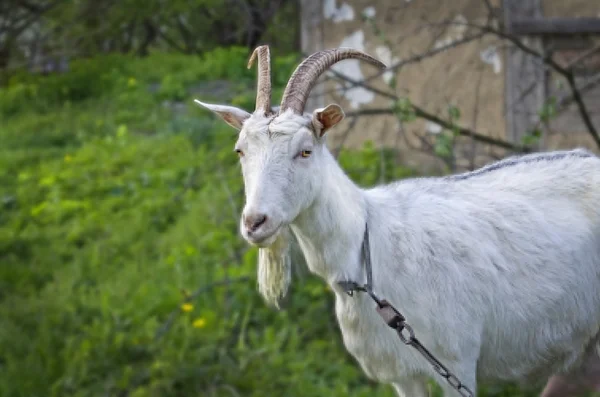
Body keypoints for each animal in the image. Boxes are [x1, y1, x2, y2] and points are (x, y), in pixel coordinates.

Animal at [195, 45, 600, 396]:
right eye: (240, 150)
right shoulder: (401, 373)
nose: (255, 222)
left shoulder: (455, 361)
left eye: (305, 151)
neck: (367, 249)